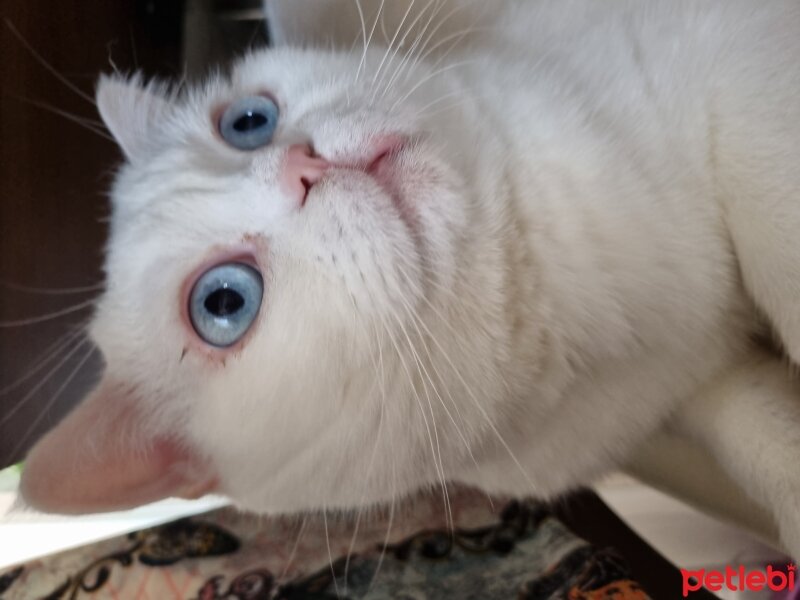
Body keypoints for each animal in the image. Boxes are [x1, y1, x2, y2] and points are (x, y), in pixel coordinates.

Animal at [18, 1, 800, 556]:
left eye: (247, 120)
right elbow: (761, 434)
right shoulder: (684, 391)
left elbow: (774, 236)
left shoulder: (729, 69)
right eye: (223, 303)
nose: (304, 166)